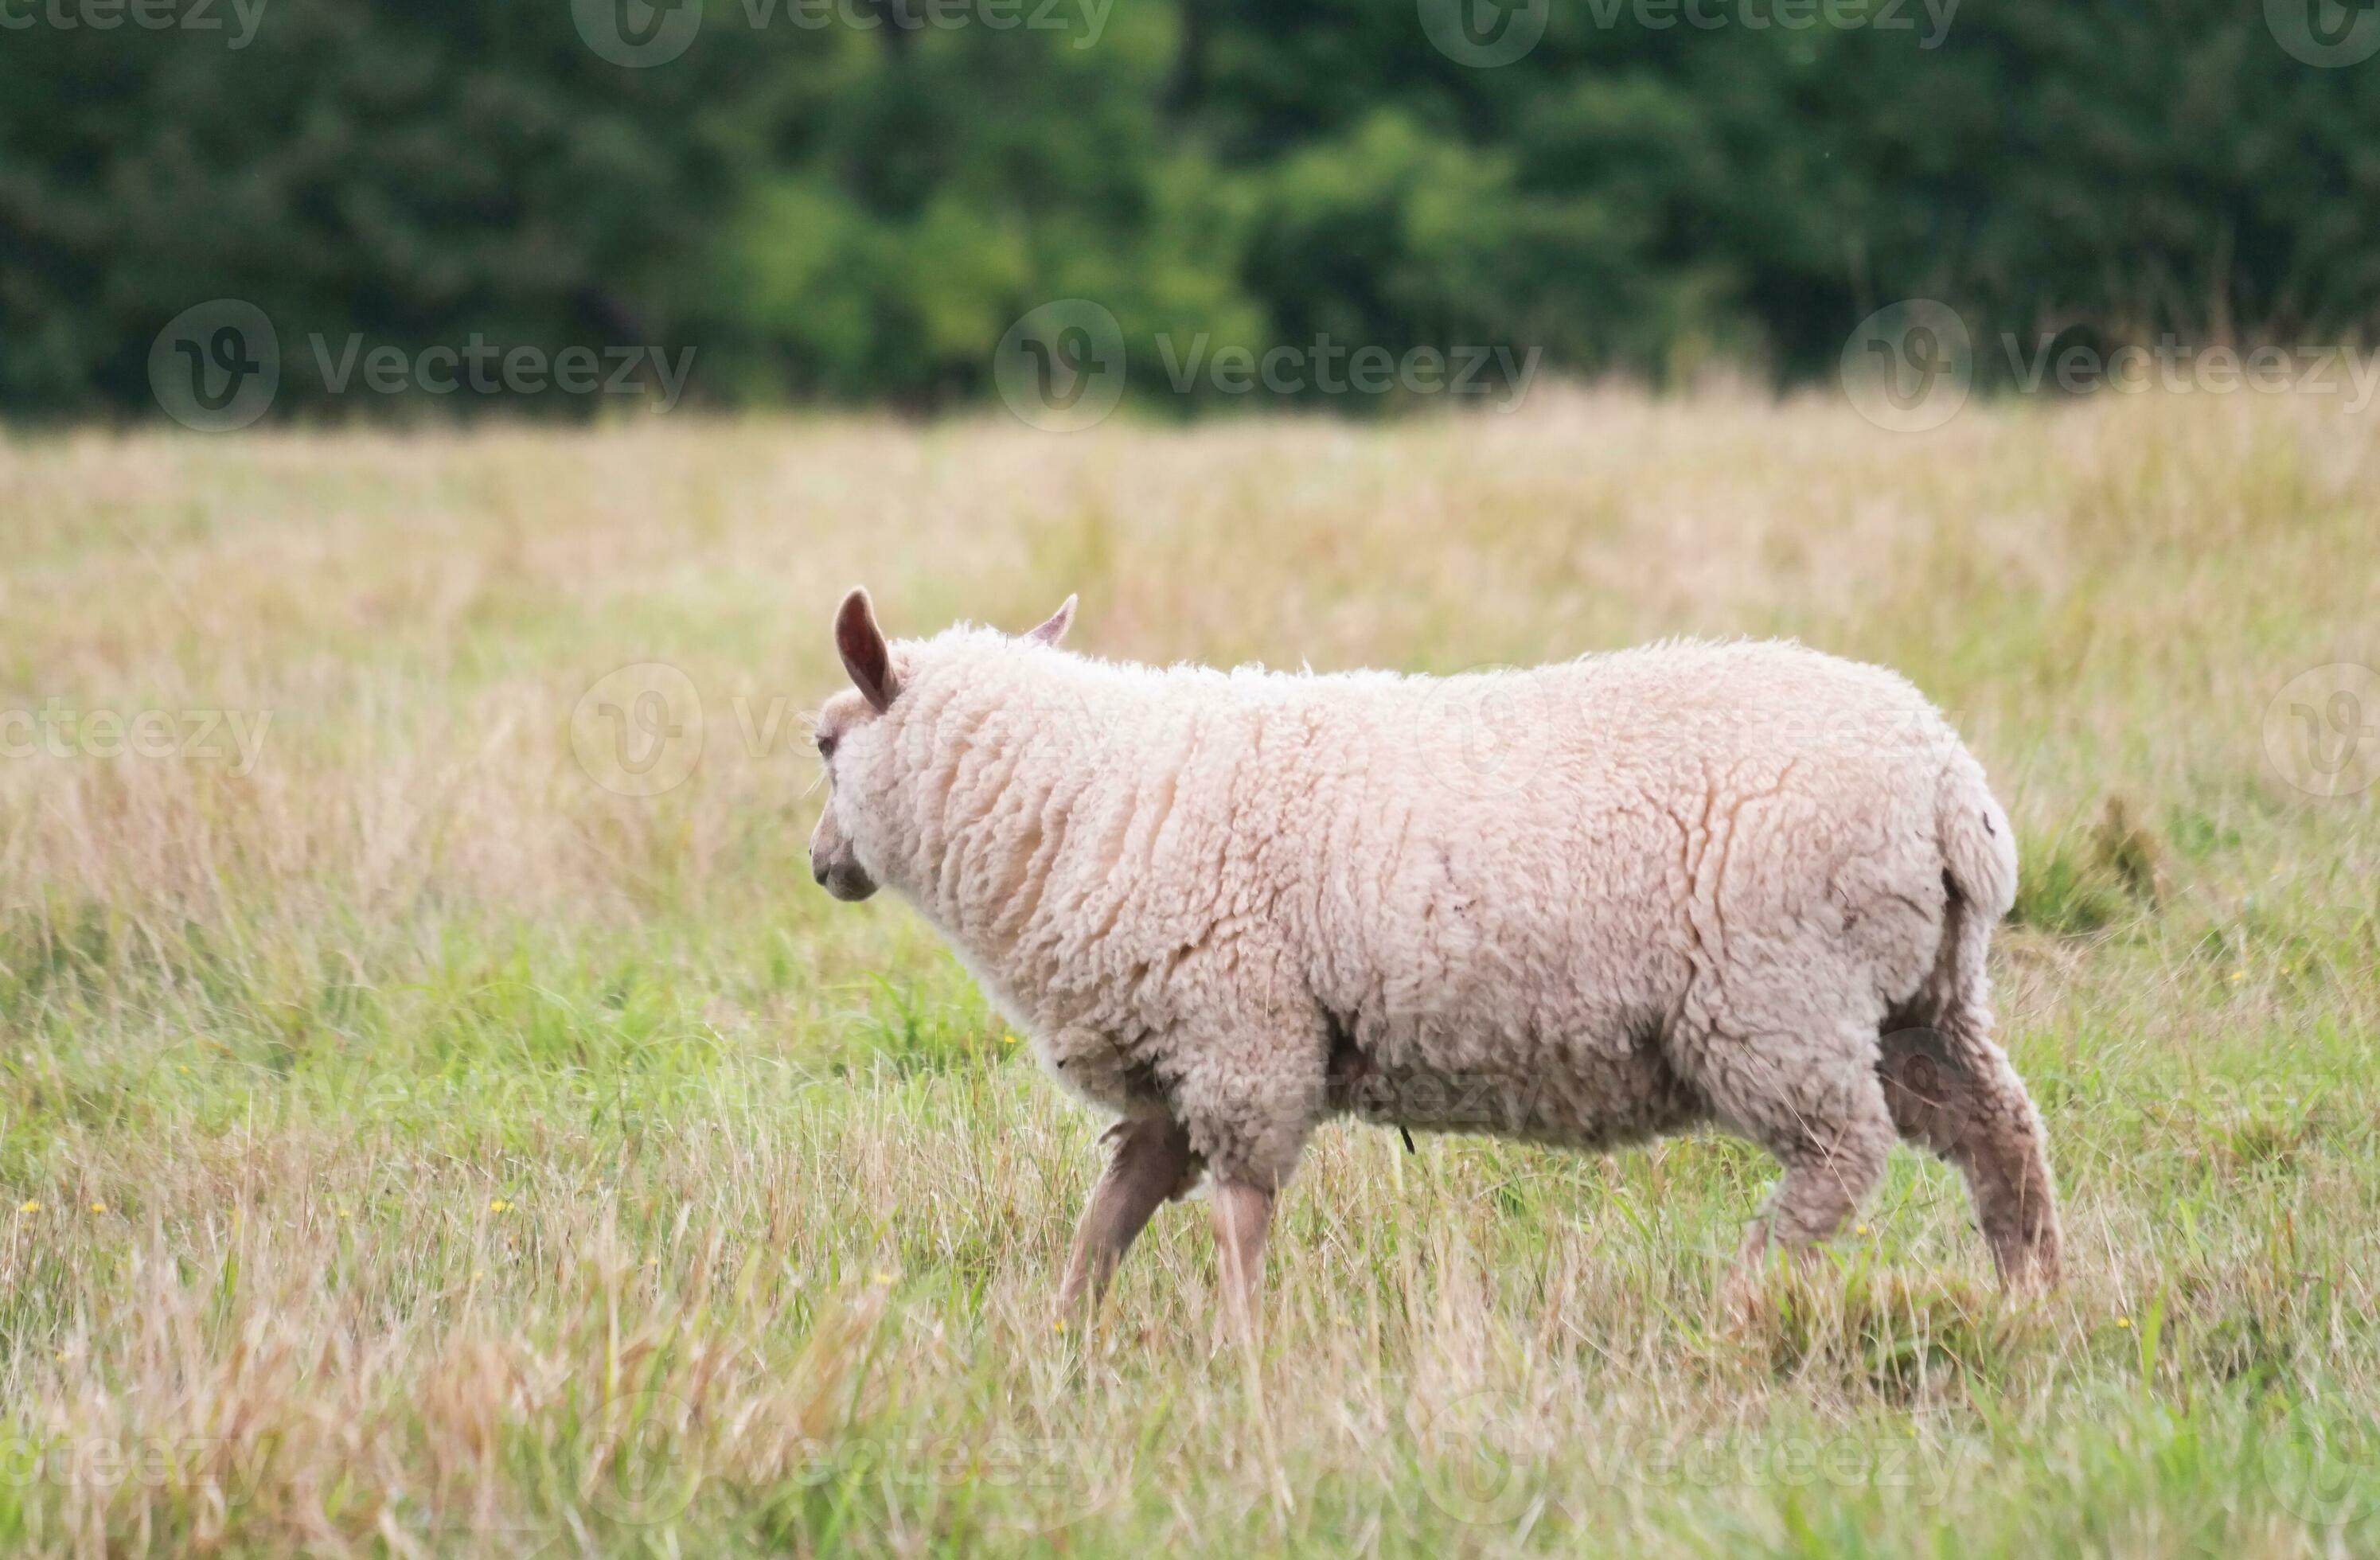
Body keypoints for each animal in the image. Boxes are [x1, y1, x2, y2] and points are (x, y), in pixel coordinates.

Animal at [807, 588, 2061, 1328]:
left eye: (822, 743)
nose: (821, 867)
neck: (1080, 791)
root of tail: (1947, 785)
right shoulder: (1182, 1060)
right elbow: (1110, 1213)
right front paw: (1064, 1336)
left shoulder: (1243, 1036)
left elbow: (1238, 1215)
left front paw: (1238, 1351)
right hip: (1918, 1002)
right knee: (1999, 1135)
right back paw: (2035, 1302)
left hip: (1777, 999)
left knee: (1841, 1156)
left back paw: (1743, 1292)